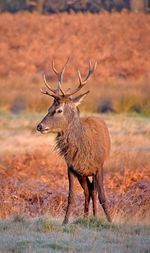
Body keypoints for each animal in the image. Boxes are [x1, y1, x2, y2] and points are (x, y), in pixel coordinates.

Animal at [36, 58, 111, 223]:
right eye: (49, 108)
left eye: (59, 110)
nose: (39, 126)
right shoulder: (71, 167)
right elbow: (71, 196)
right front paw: (65, 222)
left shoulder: (99, 165)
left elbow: (103, 196)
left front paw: (110, 220)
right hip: (82, 174)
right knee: (88, 191)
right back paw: (86, 216)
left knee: (93, 191)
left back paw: (94, 216)